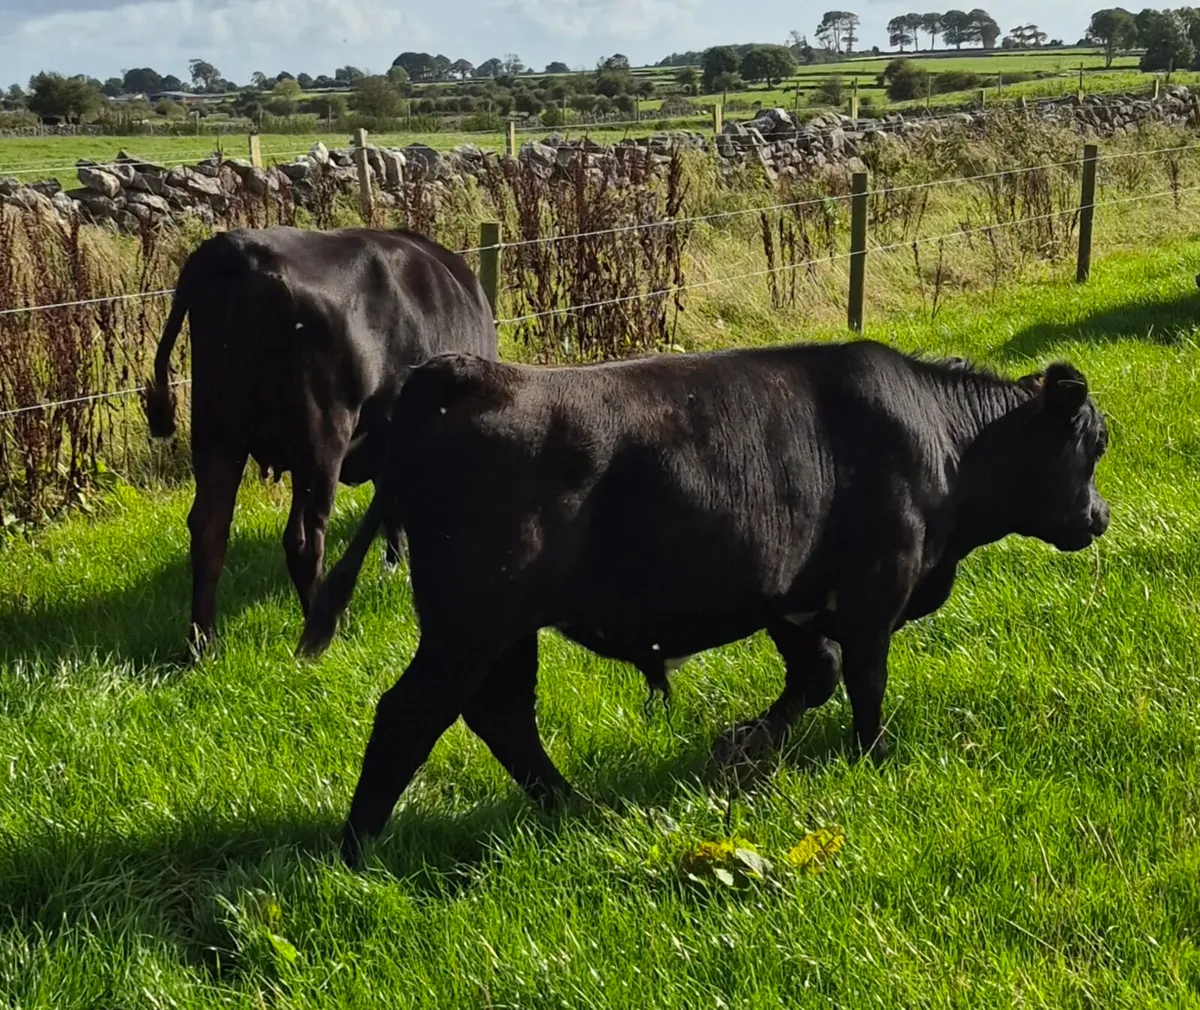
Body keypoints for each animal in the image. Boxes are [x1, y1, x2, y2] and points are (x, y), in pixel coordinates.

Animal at [142, 225, 497, 658]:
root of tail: (234, 249)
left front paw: (394, 563)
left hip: (217, 433)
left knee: (209, 531)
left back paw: (202, 644)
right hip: (321, 439)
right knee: (304, 538)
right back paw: (326, 632)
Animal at [294, 338, 1111, 868]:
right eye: (1095, 444)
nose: (1100, 518)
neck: (943, 442)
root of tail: (459, 372)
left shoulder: (790, 599)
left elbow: (814, 675)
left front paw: (742, 747)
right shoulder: (876, 591)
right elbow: (864, 681)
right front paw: (873, 758)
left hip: (503, 630)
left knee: (501, 716)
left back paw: (571, 807)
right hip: (472, 621)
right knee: (411, 714)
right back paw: (356, 852)